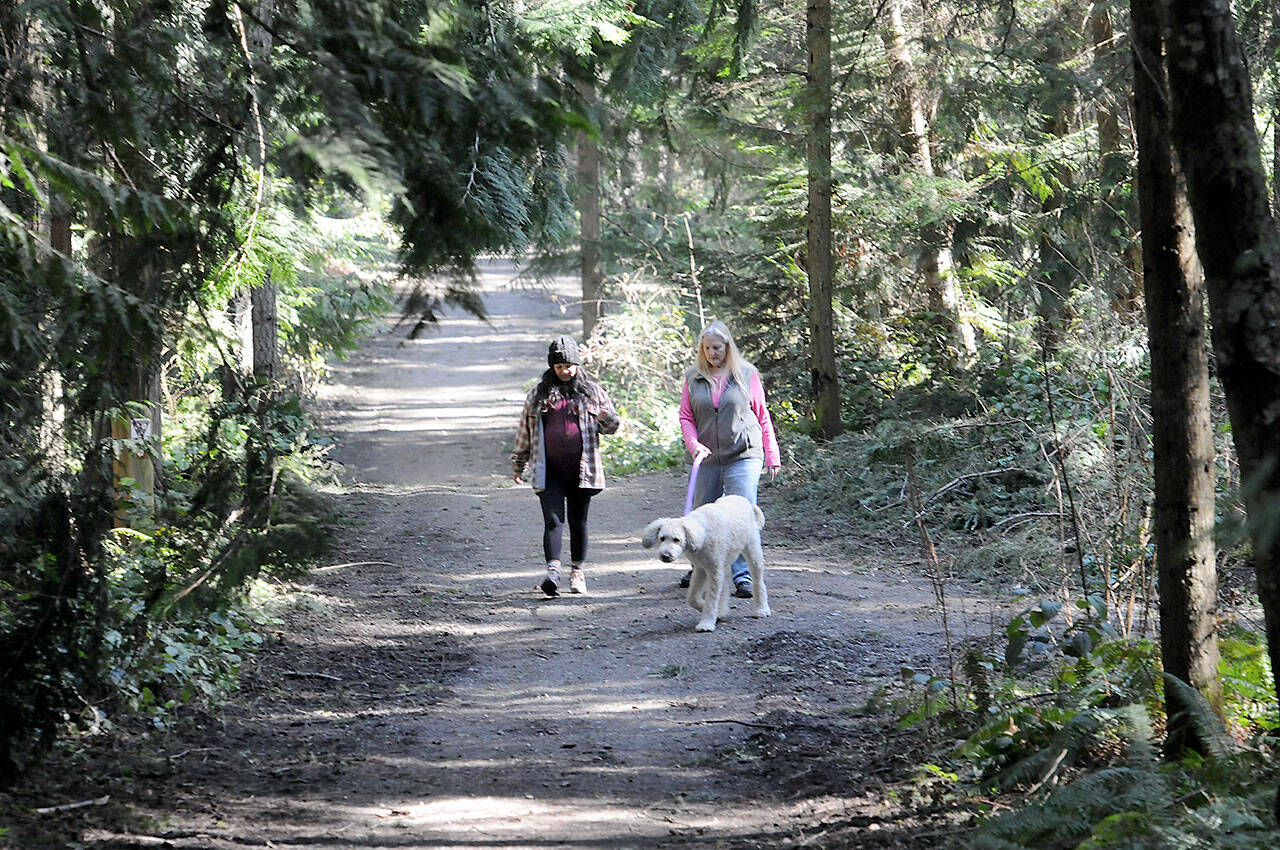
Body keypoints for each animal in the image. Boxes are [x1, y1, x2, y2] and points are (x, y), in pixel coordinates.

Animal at [640, 491, 768, 629]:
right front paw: (713, 611)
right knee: (724, 587)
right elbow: (692, 598)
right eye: (662, 538)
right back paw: (722, 610)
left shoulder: (713, 571)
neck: (702, 532)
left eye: (676, 539)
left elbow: (711, 600)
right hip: (724, 563)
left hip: (752, 552)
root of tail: (744, 500)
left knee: (758, 582)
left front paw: (706, 623)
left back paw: (762, 610)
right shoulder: (700, 569)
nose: (665, 556)